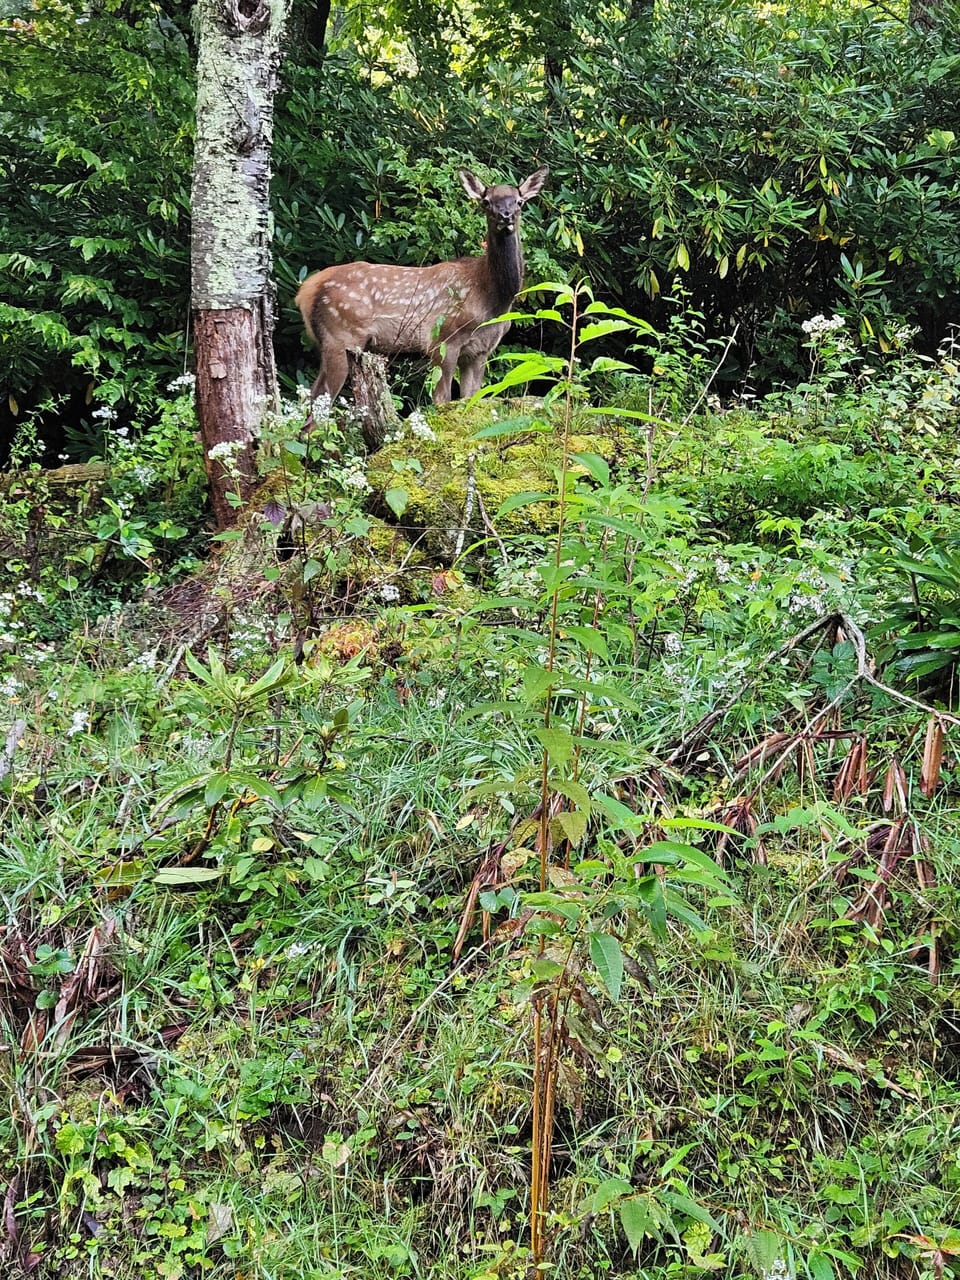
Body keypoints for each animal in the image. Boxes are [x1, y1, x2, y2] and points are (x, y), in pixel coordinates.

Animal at [295, 166, 549, 411]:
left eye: (519, 201)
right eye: (486, 201)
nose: (505, 216)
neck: (492, 299)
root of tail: (306, 290)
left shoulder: (480, 351)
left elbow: (470, 399)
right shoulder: (443, 338)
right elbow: (442, 399)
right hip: (341, 335)